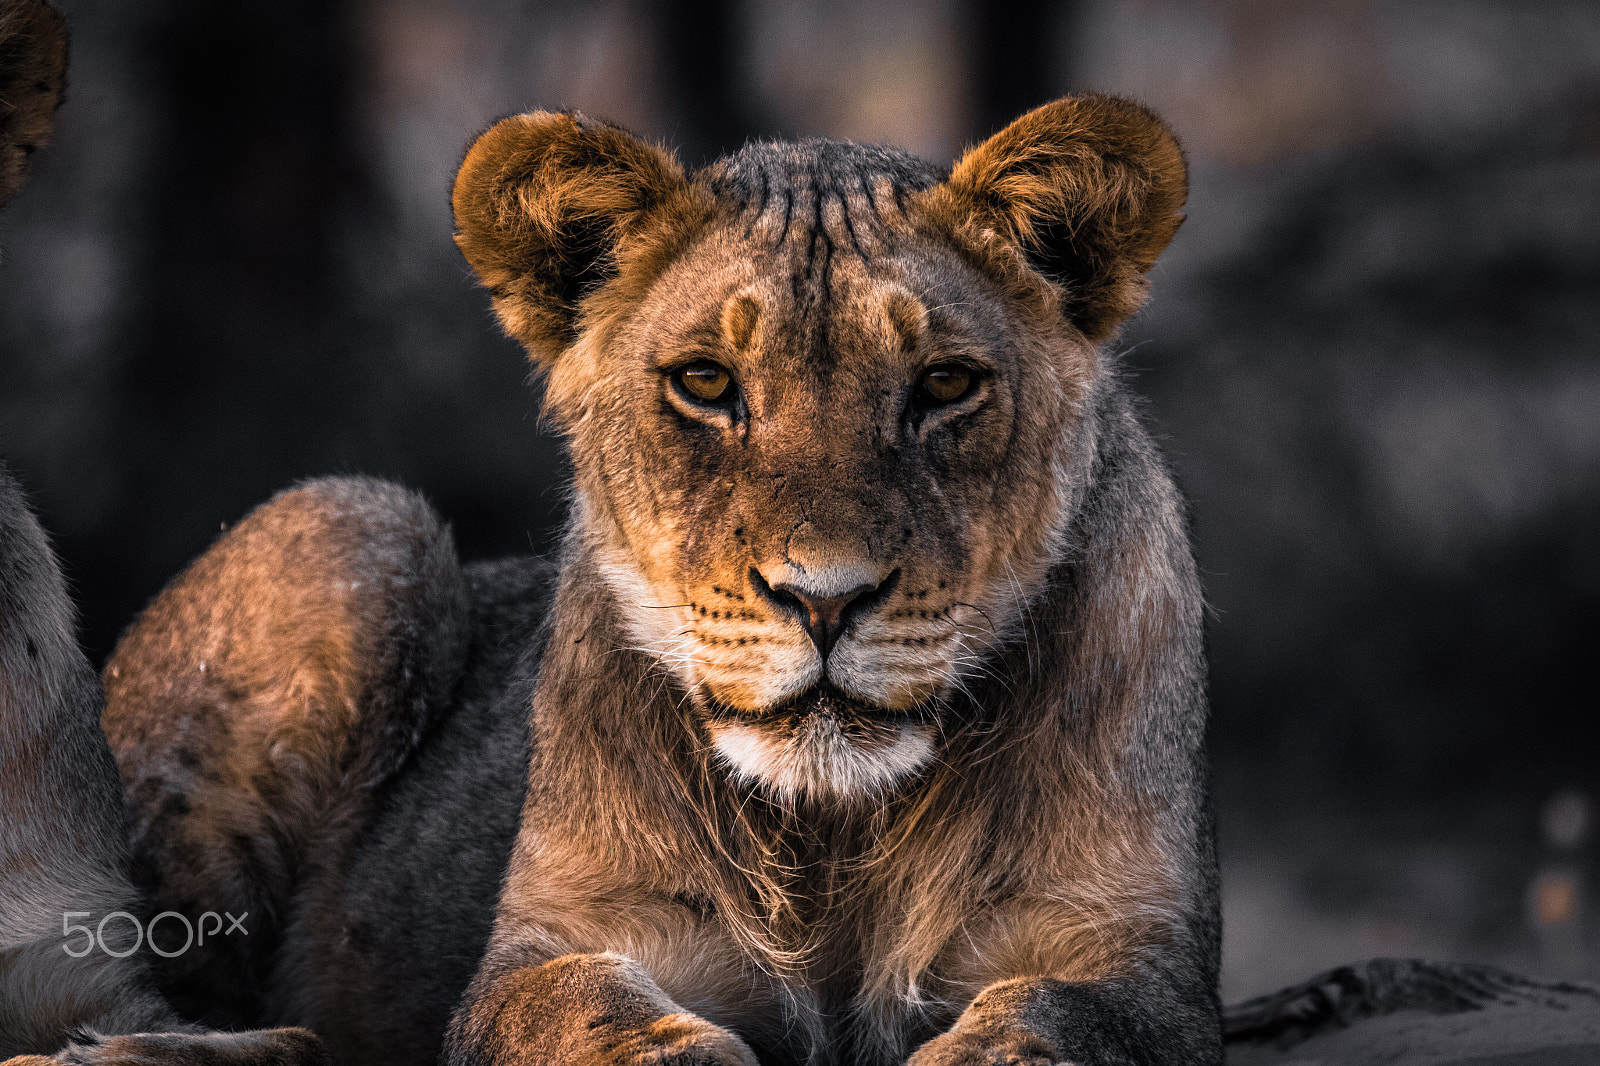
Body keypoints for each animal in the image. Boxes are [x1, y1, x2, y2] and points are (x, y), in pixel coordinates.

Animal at [5, 95, 1219, 1064]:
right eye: (706, 384)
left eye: (946, 385)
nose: (824, 599)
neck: (833, 839)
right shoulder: (557, 941)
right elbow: (589, 1010)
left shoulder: (1134, 953)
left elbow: (1054, 1017)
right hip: (355, 517)